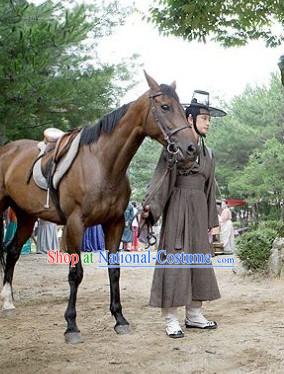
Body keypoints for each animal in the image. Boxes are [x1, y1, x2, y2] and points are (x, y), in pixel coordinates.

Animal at [0, 71, 199, 344]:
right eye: (165, 107)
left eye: (182, 108)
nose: (191, 148)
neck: (102, 164)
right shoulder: (75, 225)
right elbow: (75, 274)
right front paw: (71, 326)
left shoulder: (114, 223)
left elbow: (114, 271)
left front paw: (120, 319)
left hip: (26, 216)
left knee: (12, 252)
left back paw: (7, 301)